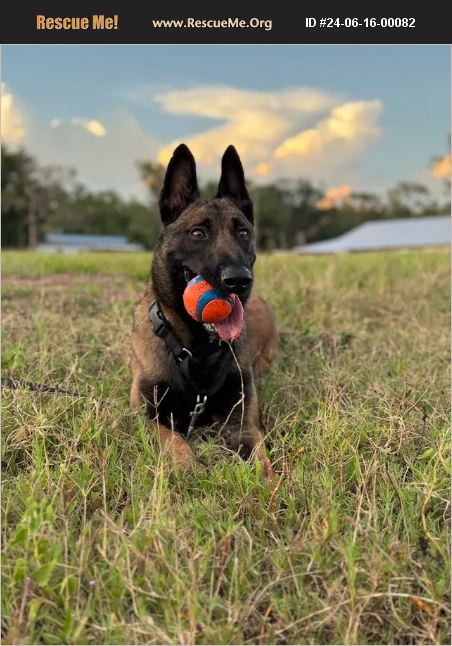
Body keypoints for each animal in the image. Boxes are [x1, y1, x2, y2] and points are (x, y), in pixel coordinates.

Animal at [131, 144, 278, 478]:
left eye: (243, 233)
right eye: (198, 233)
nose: (238, 280)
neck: (195, 349)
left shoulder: (243, 422)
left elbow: (261, 461)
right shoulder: (146, 417)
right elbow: (175, 443)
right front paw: (191, 471)